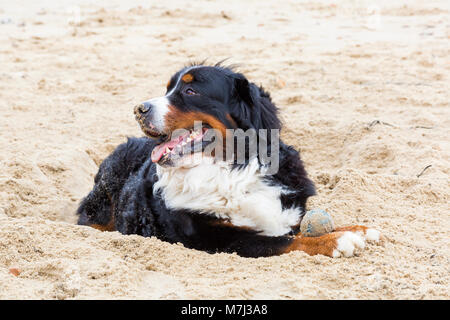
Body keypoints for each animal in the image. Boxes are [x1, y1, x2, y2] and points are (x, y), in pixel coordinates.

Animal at [77, 63, 380, 258]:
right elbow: (283, 241)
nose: (140, 109)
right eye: (168, 90)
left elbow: (295, 229)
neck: (232, 169)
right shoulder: (219, 237)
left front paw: (360, 228)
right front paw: (336, 240)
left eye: (190, 91)